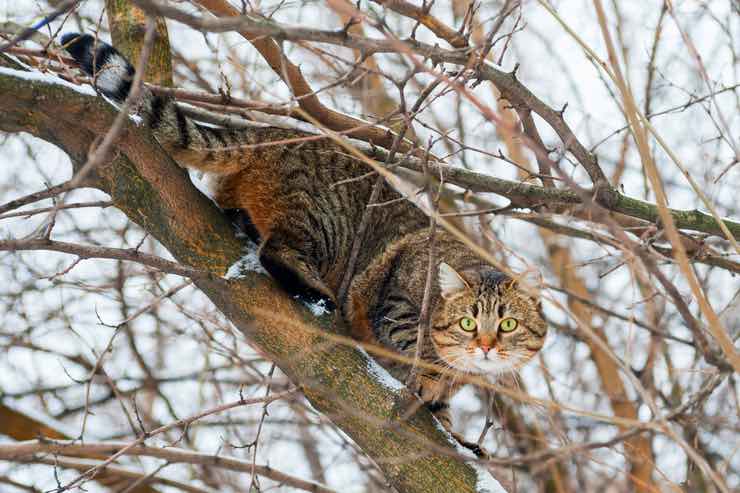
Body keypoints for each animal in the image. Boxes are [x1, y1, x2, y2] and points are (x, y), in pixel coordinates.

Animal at [60, 33, 548, 442]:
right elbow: (413, 344)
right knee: (277, 251)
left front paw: (450, 423)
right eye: (468, 321)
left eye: (508, 324)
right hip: (324, 222)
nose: (485, 346)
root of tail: (273, 130)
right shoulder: (397, 294)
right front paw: (427, 380)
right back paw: (310, 285)